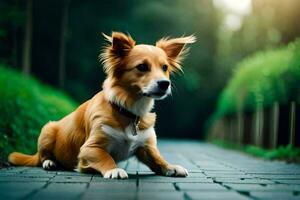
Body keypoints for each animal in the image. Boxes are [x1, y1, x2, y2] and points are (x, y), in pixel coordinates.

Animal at [8, 32, 196, 179]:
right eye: (142, 67)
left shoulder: (146, 147)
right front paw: (114, 170)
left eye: (164, 67)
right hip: (47, 130)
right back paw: (49, 162)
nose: (165, 83)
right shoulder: (89, 148)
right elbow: (106, 158)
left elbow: (158, 159)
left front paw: (171, 166)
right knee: (42, 157)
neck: (128, 111)